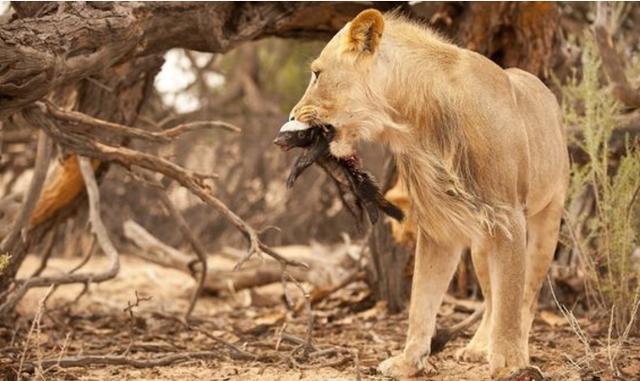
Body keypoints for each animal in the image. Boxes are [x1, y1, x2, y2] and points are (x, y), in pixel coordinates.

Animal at [282, 9, 568, 380]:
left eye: (317, 74)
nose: (291, 116)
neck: (415, 124)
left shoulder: (508, 217)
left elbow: (511, 297)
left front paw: (509, 362)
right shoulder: (440, 225)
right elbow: (422, 299)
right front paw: (409, 361)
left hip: (546, 220)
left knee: (527, 294)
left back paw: (516, 346)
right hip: (481, 243)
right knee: (492, 297)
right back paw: (478, 347)